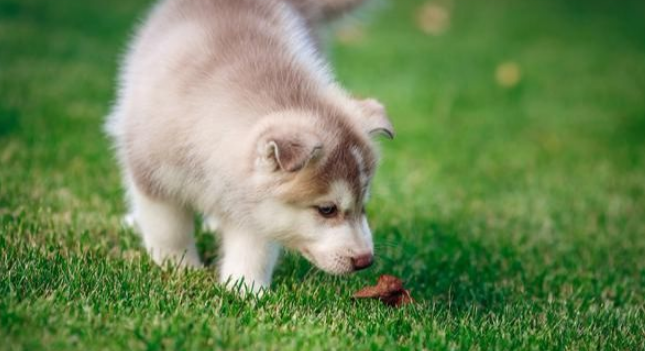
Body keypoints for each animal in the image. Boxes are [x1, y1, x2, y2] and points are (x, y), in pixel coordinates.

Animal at [105, 0, 392, 292]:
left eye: (364, 204)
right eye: (327, 209)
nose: (365, 260)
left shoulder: (255, 205)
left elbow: (254, 249)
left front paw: (246, 289)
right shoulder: (152, 172)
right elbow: (168, 229)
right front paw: (180, 268)